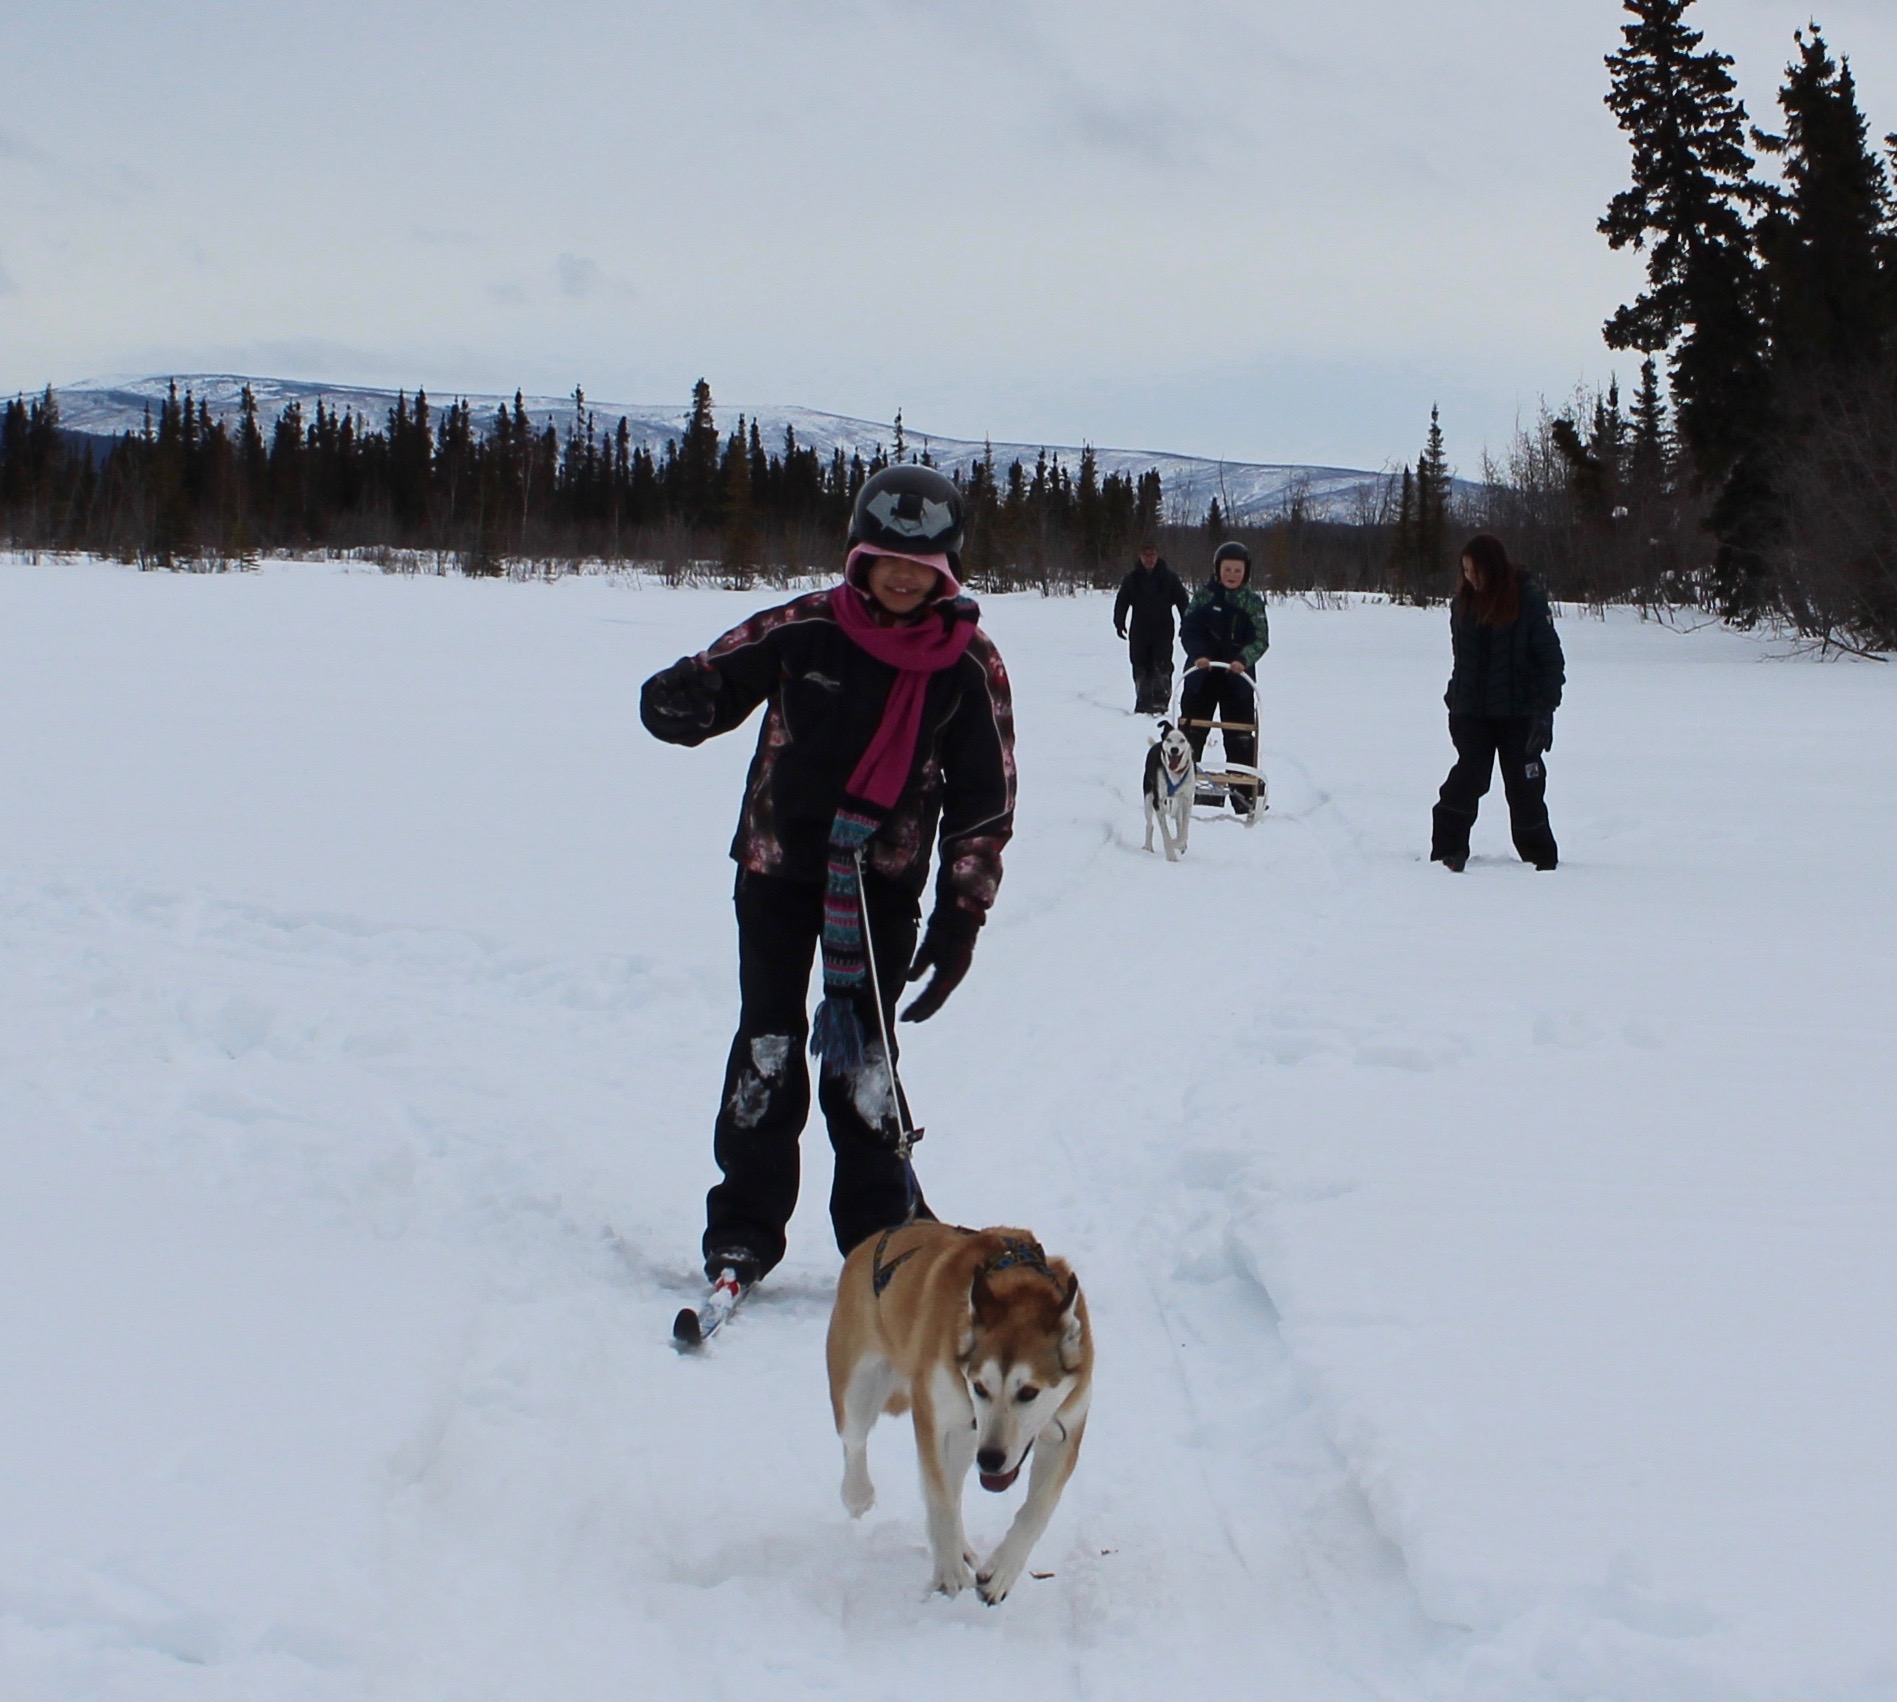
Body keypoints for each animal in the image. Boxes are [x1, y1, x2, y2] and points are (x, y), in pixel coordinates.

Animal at [823, 1214, 1092, 1601]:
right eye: (979, 1386)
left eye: (1029, 1392)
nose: (991, 1460)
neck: (1019, 1290)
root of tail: (876, 1238)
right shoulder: (932, 1418)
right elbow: (940, 1501)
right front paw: (949, 1572)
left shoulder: (1065, 1432)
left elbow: (1038, 1508)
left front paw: (1001, 1572)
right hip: (859, 1387)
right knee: (856, 1441)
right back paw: (858, 1494)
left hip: (968, 1436)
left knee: (954, 1479)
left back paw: (962, 1545)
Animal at [1138, 721, 1198, 857]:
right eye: (1169, 739)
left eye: (1182, 740)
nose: (1174, 749)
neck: (1175, 773)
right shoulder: (1158, 801)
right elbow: (1165, 832)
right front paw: (1171, 855)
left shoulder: (1187, 799)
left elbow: (1184, 830)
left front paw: (1178, 843)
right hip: (1148, 798)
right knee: (1150, 825)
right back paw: (1148, 847)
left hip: (1178, 801)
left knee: (1178, 821)